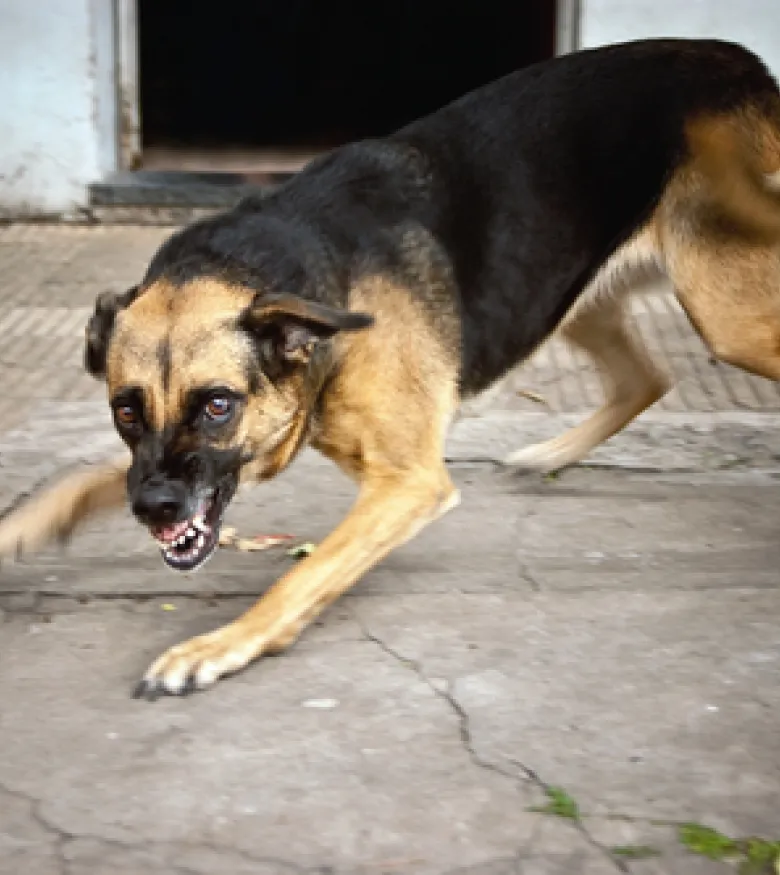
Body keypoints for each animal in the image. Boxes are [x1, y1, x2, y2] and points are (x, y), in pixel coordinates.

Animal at [1, 37, 780, 700]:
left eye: (218, 404)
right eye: (125, 408)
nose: (156, 511)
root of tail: (739, 60)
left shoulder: (407, 484)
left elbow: (303, 575)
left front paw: (218, 647)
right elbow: (83, 480)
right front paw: (22, 529)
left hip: (727, 316)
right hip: (567, 293)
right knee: (645, 379)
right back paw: (547, 455)